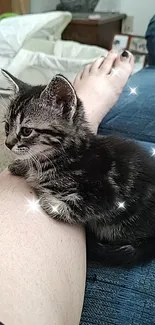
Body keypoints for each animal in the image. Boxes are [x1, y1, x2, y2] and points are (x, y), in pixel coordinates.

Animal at [2, 69, 155, 266]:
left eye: (26, 131)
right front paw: (21, 166)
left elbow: (73, 208)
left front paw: (45, 198)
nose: (7, 144)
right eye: (7, 126)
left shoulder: (105, 195)